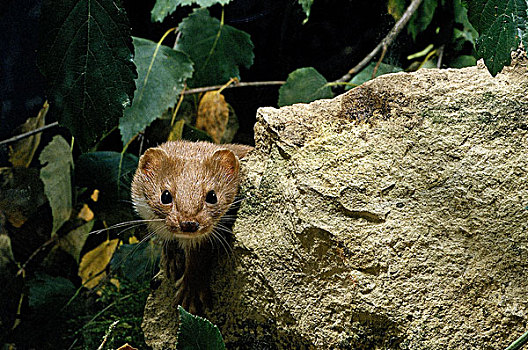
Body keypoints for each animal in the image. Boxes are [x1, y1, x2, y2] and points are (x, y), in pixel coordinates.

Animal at [134, 141, 254, 314]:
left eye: (212, 196)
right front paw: (171, 258)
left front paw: (190, 293)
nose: (188, 223)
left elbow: (198, 259)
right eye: (165, 195)